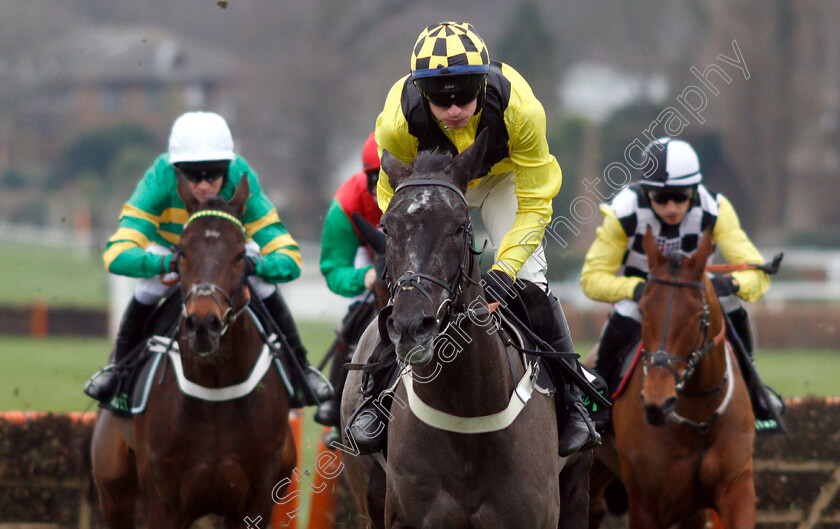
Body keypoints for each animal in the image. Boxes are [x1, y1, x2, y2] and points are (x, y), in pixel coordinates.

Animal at [89, 175, 296, 524]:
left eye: (240, 255)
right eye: (182, 252)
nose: (203, 324)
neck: (216, 388)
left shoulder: (256, 501)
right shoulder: (164, 503)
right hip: (114, 495)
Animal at [588, 227, 756, 528]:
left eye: (698, 316)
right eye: (643, 309)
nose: (658, 402)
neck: (697, 417)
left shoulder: (735, 488)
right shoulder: (647, 503)